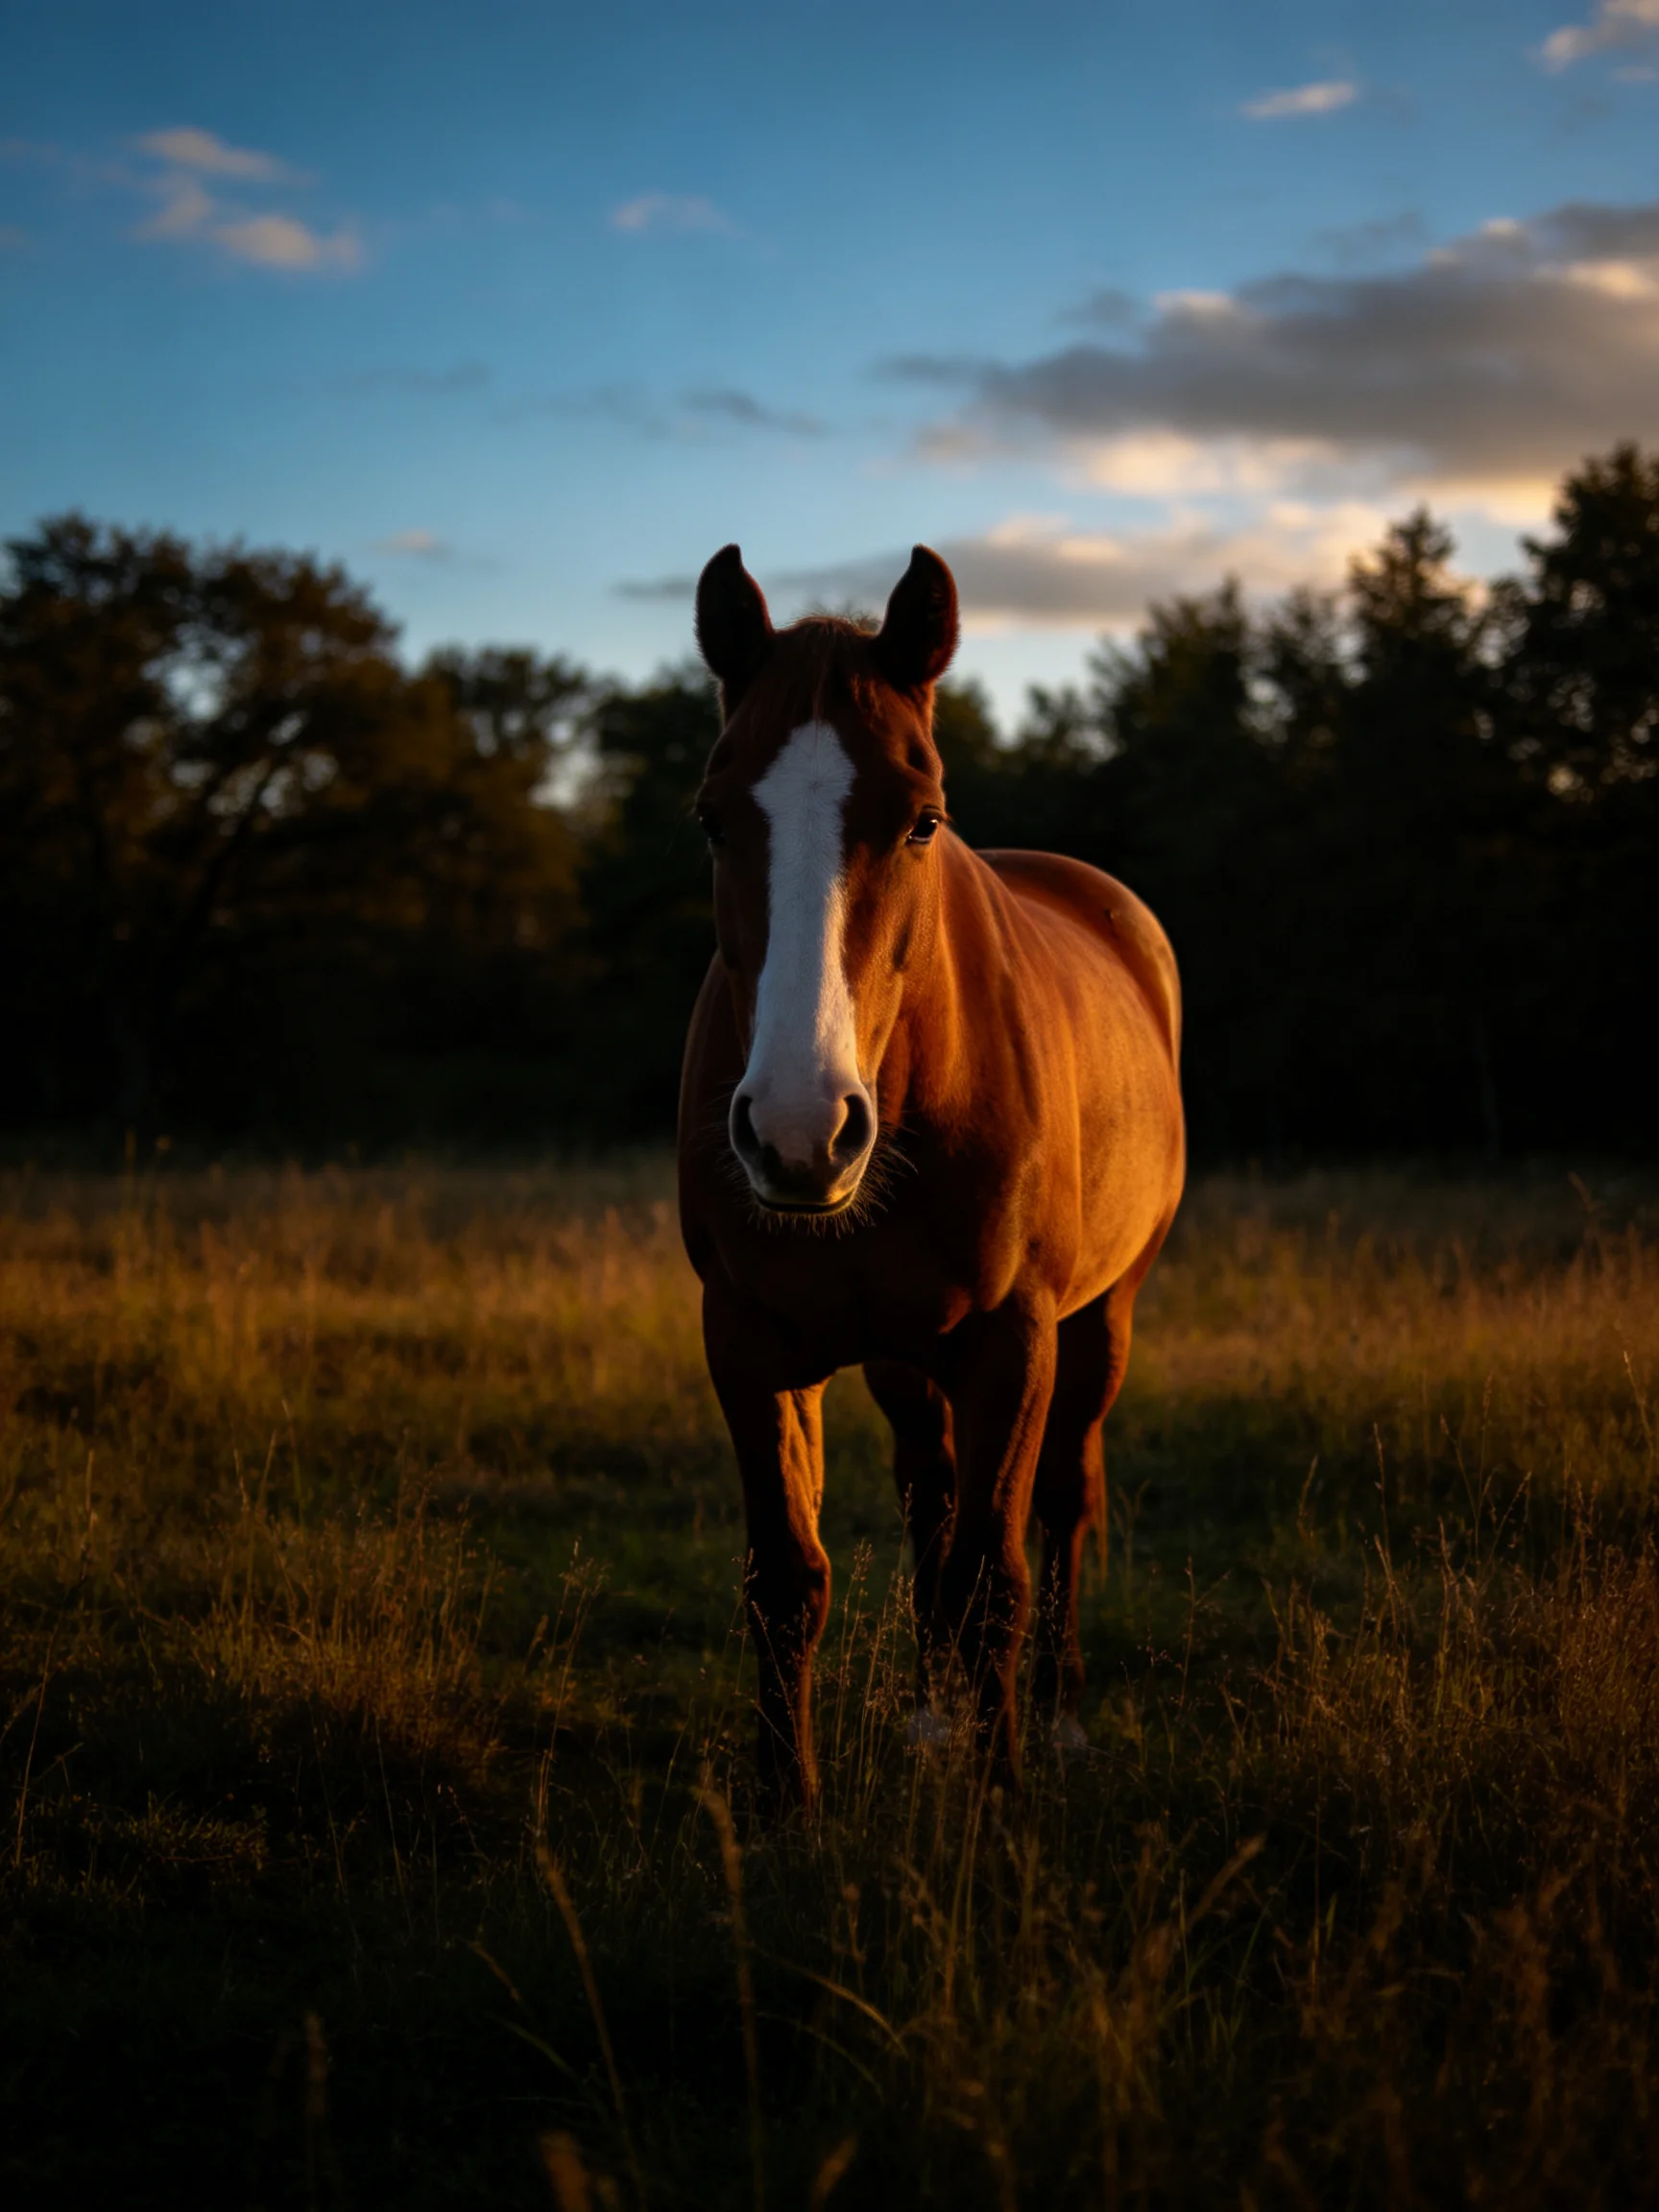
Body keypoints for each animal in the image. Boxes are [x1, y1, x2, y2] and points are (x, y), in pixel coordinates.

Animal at [677, 542, 1184, 1810]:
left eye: (921, 821)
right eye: (713, 819)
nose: (800, 1133)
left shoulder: (1013, 1341)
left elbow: (997, 1573)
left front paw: (1000, 1796)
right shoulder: (748, 1341)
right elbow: (786, 1579)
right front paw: (785, 1805)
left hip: (1103, 1319)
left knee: (1060, 1499)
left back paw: (1052, 1714)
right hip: (902, 1360)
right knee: (929, 1495)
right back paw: (931, 1708)